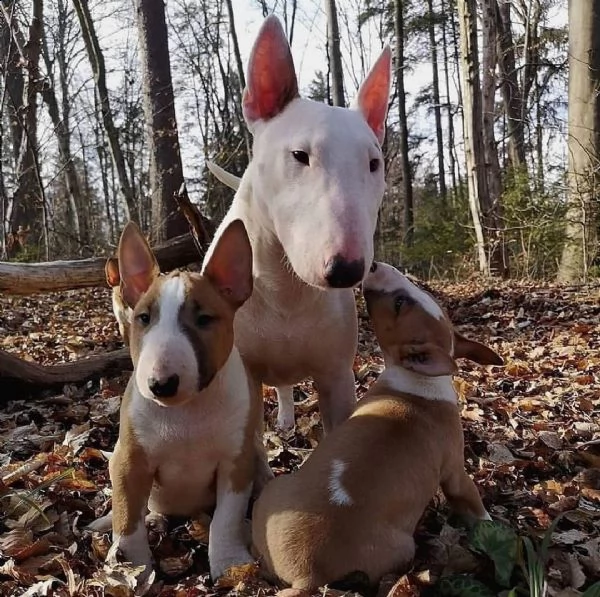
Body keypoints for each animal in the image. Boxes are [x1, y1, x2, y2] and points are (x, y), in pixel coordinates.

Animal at [99, 218, 262, 576]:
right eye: (144, 318)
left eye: (204, 319)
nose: (161, 384)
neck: (186, 413)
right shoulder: (128, 461)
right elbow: (127, 517)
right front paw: (131, 566)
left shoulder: (235, 463)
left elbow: (226, 519)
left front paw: (229, 563)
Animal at [251, 262, 504, 592]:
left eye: (399, 302)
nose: (372, 265)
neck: (420, 380)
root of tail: (307, 576)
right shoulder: (455, 473)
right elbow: (474, 503)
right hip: (404, 547)